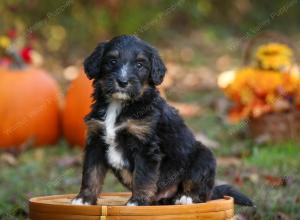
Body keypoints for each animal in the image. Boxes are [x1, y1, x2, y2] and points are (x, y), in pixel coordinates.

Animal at [72, 35, 253, 207]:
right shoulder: (96, 142)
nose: (122, 82)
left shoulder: (146, 147)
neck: (119, 105)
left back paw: (186, 198)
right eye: (112, 61)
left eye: (140, 65)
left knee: (202, 191)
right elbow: (91, 175)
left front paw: (138, 201)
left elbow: (142, 177)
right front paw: (84, 199)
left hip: (204, 156)